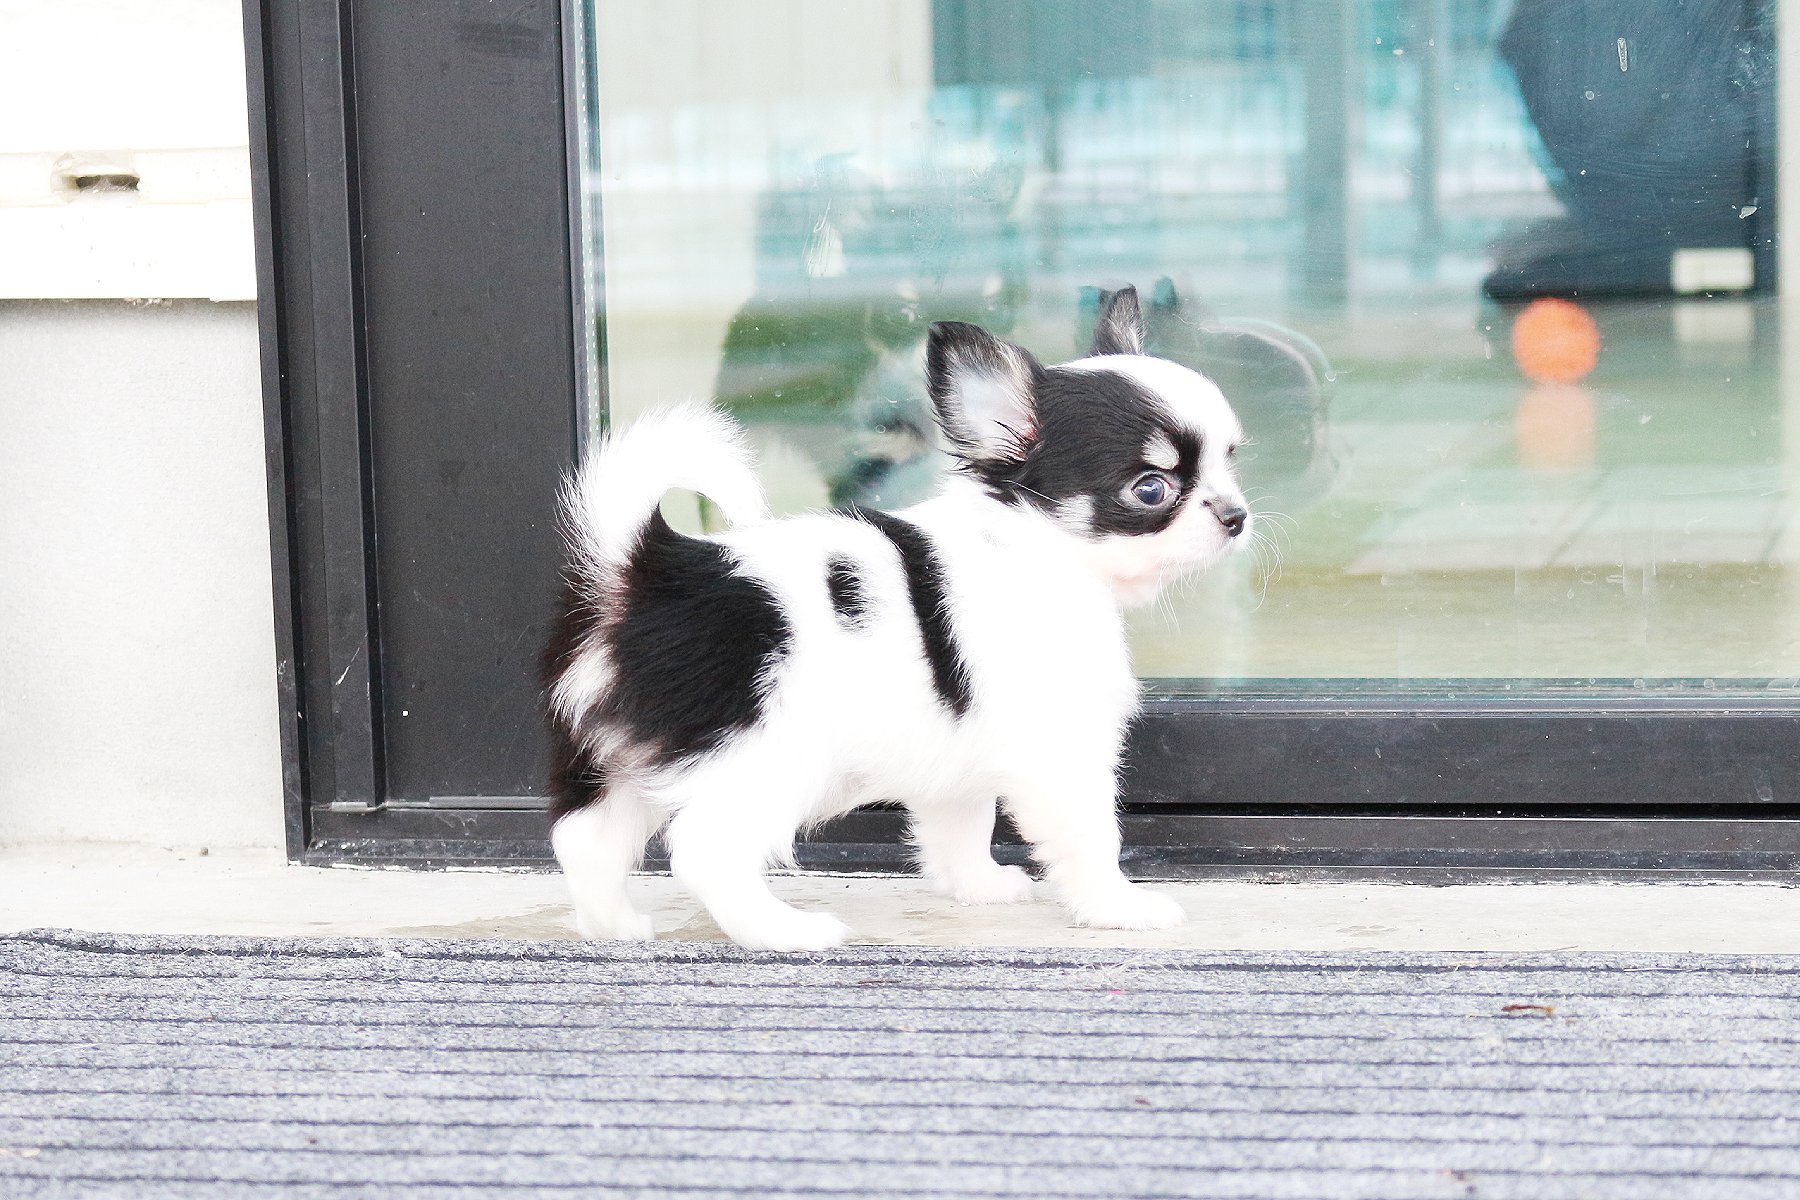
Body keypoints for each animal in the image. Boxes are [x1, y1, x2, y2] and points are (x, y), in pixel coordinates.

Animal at [543, 286, 1251, 950]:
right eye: (1152, 489)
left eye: (1231, 460)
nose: (1236, 515)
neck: (1029, 546)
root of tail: (656, 571)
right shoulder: (1060, 752)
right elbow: (1090, 837)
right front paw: (1120, 908)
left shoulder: (958, 754)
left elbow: (962, 826)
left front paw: (979, 887)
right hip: (767, 759)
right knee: (703, 852)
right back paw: (783, 931)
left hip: (625, 760)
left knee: (583, 836)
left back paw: (612, 927)